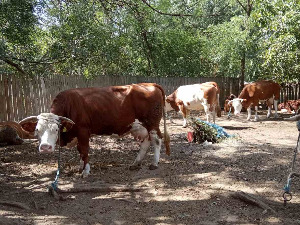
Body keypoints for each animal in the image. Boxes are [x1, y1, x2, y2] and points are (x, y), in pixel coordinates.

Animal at [19, 83, 171, 177]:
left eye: (56, 129)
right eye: (37, 129)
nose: (45, 147)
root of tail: (149, 84)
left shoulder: (83, 131)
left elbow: (85, 150)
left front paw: (85, 171)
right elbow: (80, 150)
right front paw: (80, 166)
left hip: (152, 124)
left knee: (157, 140)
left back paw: (154, 163)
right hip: (142, 126)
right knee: (146, 141)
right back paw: (136, 163)